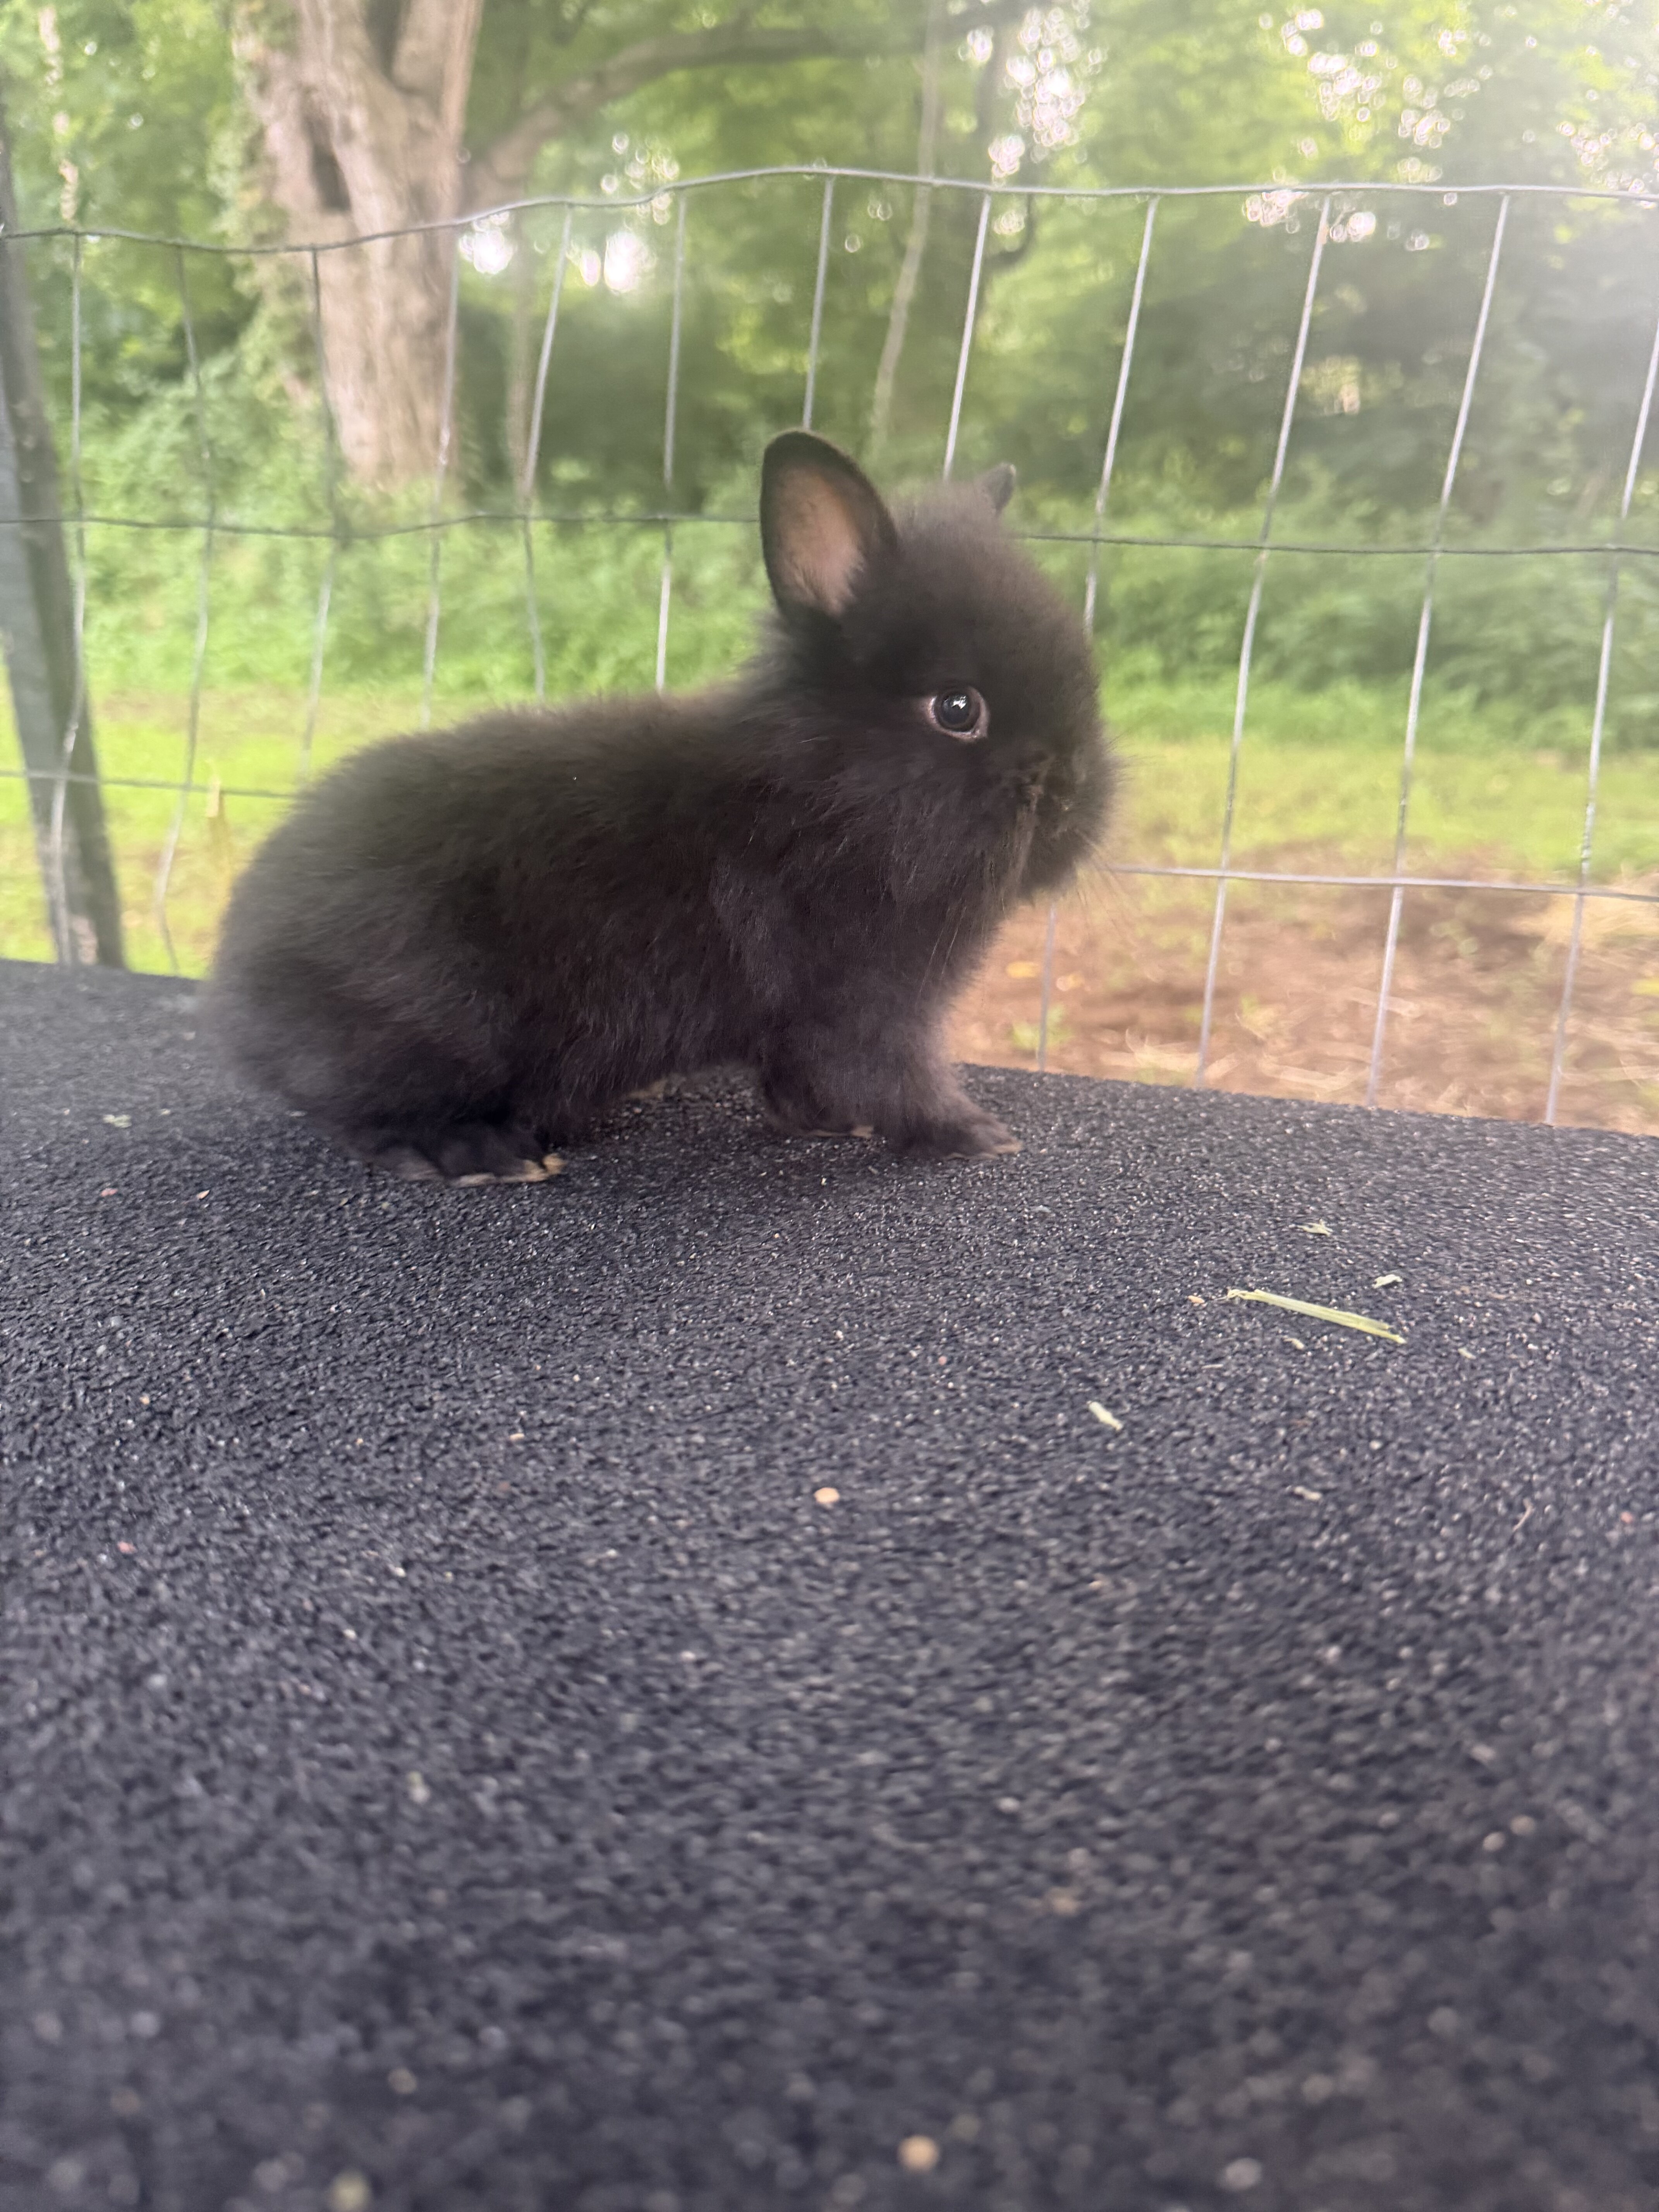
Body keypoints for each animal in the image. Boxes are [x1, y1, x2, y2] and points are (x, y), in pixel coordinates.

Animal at [208, 431, 1113, 1183]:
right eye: (957, 710)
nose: (1071, 792)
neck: (822, 798)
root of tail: (239, 975)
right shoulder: (864, 1008)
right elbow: (893, 1079)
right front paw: (975, 1136)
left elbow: (803, 1084)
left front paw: (831, 1126)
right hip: (426, 1023)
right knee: (365, 1114)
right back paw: (478, 1154)